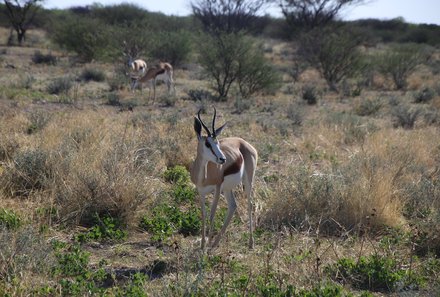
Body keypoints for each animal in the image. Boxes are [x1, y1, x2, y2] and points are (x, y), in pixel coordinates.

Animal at [190, 107, 258, 250]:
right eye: (207, 143)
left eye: (217, 142)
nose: (222, 159)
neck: (204, 177)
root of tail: (243, 142)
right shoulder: (200, 191)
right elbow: (203, 215)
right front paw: (203, 245)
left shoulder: (217, 188)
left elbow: (212, 214)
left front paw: (206, 246)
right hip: (227, 189)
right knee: (233, 206)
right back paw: (215, 243)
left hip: (248, 181)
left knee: (249, 204)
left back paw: (251, 243)